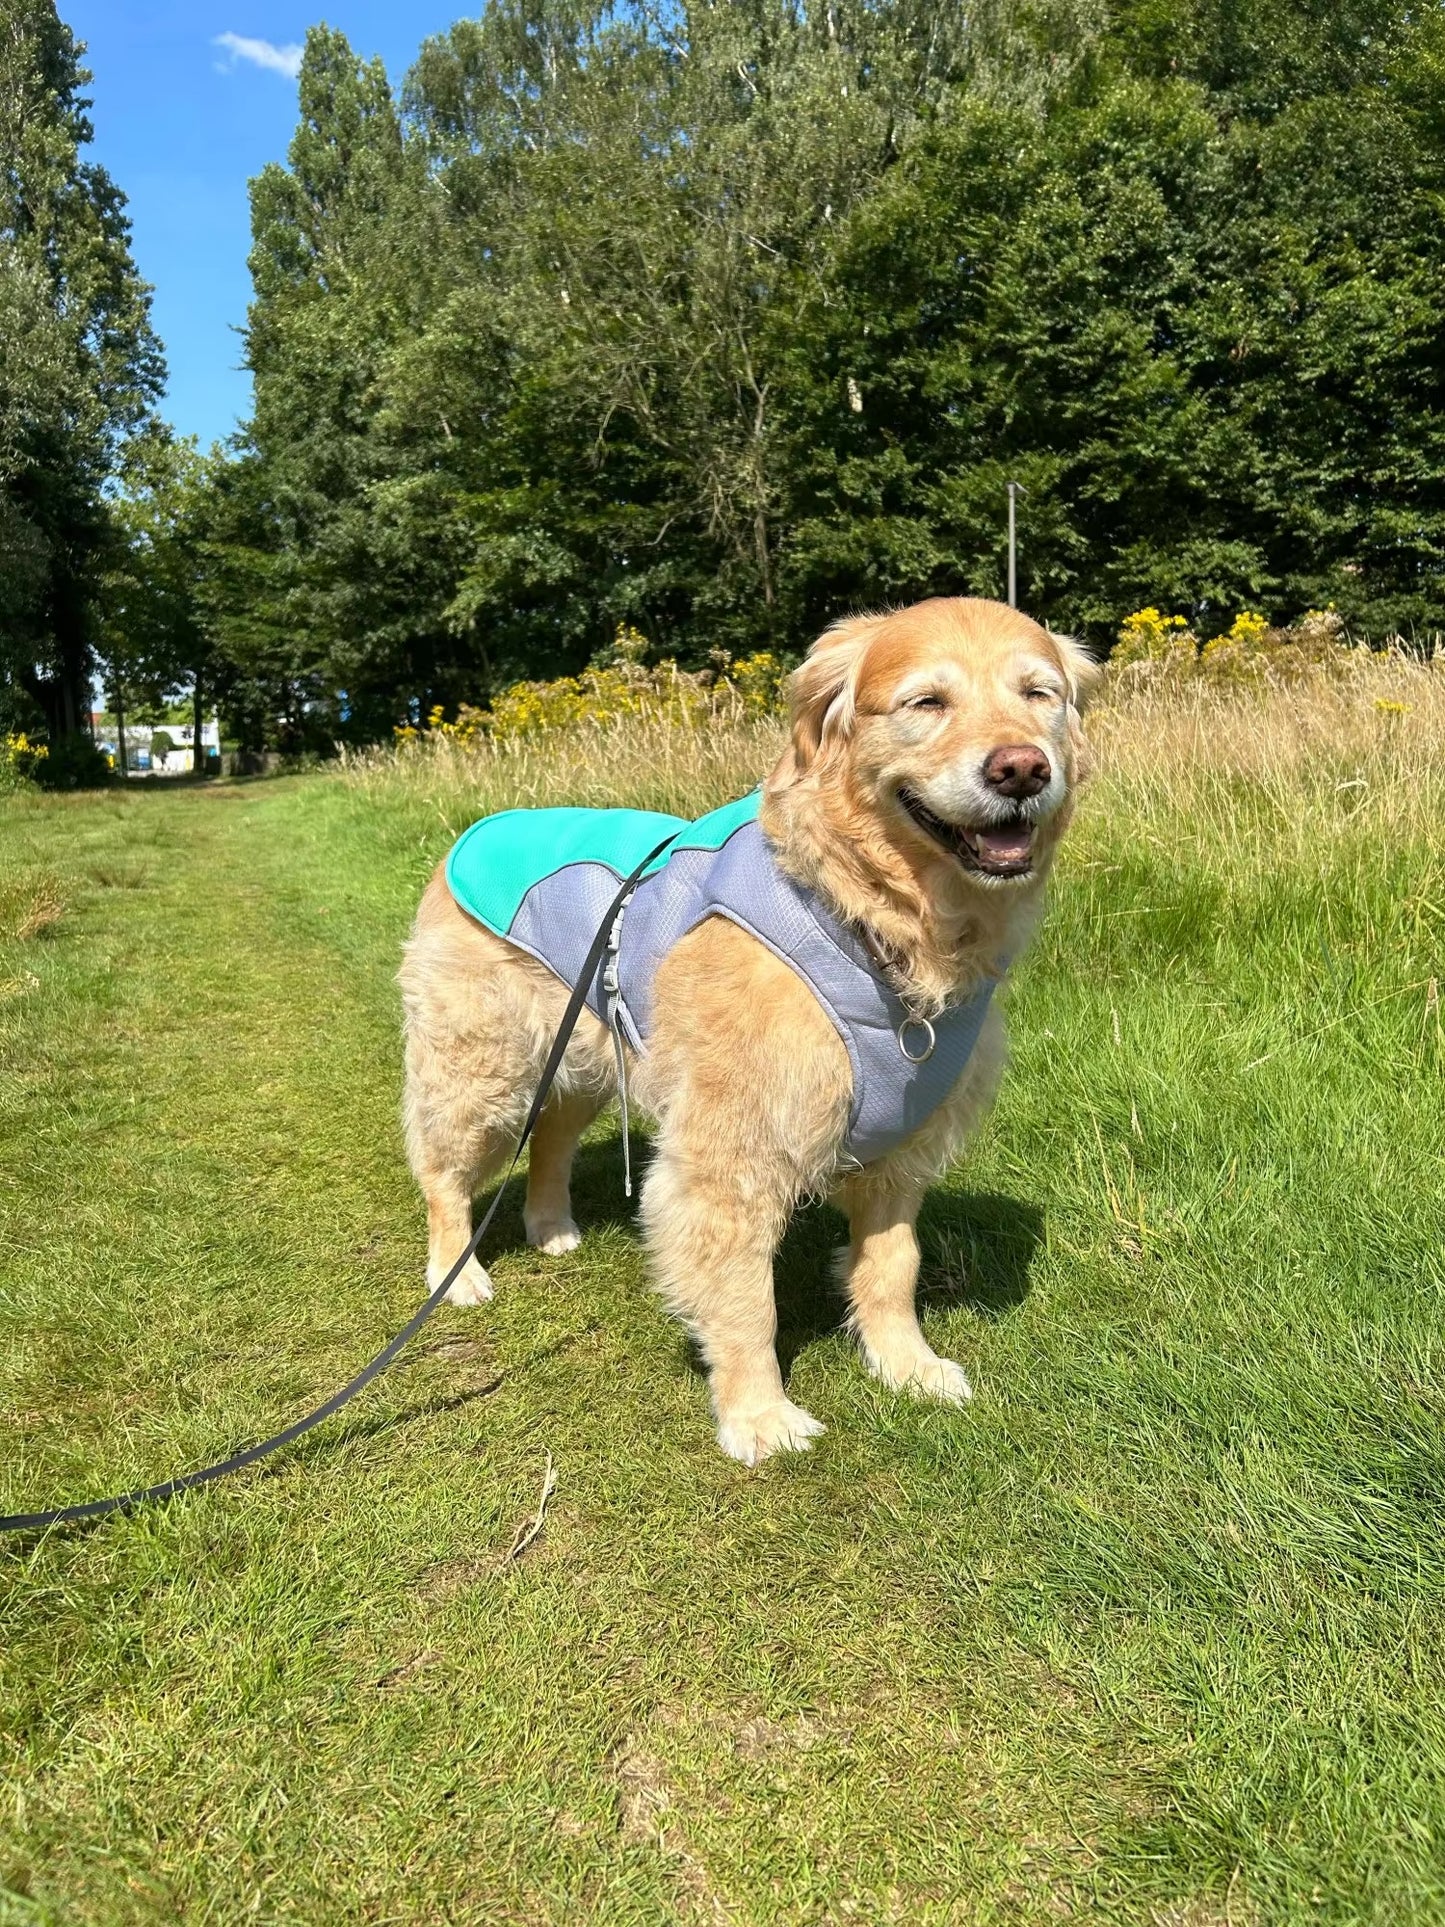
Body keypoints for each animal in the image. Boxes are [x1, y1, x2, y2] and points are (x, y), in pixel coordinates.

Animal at [396, 597, 1094, 1456]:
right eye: (926, 702)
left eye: (1038, 694)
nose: (1021, 769)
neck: (871, 920)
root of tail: (479, 828)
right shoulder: (731, 1156)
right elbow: (744, 1300)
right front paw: (758, 1414)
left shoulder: (900, 1147)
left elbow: (892, 1266)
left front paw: (907, 1366)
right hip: (480, 1067)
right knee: (442, 1175)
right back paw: (456, 1275)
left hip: (587, 1054)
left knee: (552, 1137)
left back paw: (551, 1225)